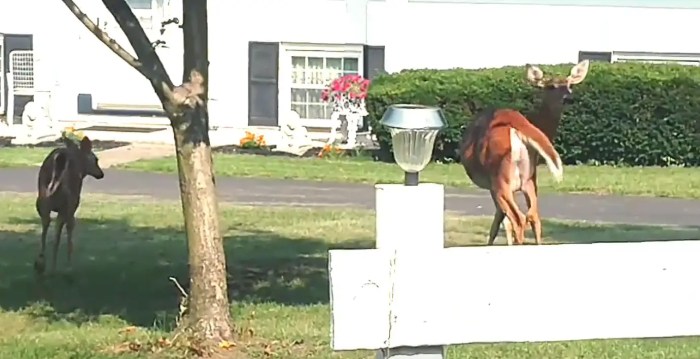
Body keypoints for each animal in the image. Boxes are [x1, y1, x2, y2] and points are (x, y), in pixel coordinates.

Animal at [34, 136, 104, 276]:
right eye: (96, 160)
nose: (101, 174)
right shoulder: (72, 207)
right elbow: (69, 230)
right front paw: (69, 265)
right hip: (66, 204)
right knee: (57, 233)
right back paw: (54, 268)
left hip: (41, 201)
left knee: (45, 227)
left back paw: (40, 263)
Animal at [462, 61, 588, 248]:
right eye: (551, 86)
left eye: (569, 85)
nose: (569, 98)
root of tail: (519, 124)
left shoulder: (494, 185)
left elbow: (500, 222)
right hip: (527, 179)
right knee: (534, 217)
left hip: (500, 177)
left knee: (518, 218)